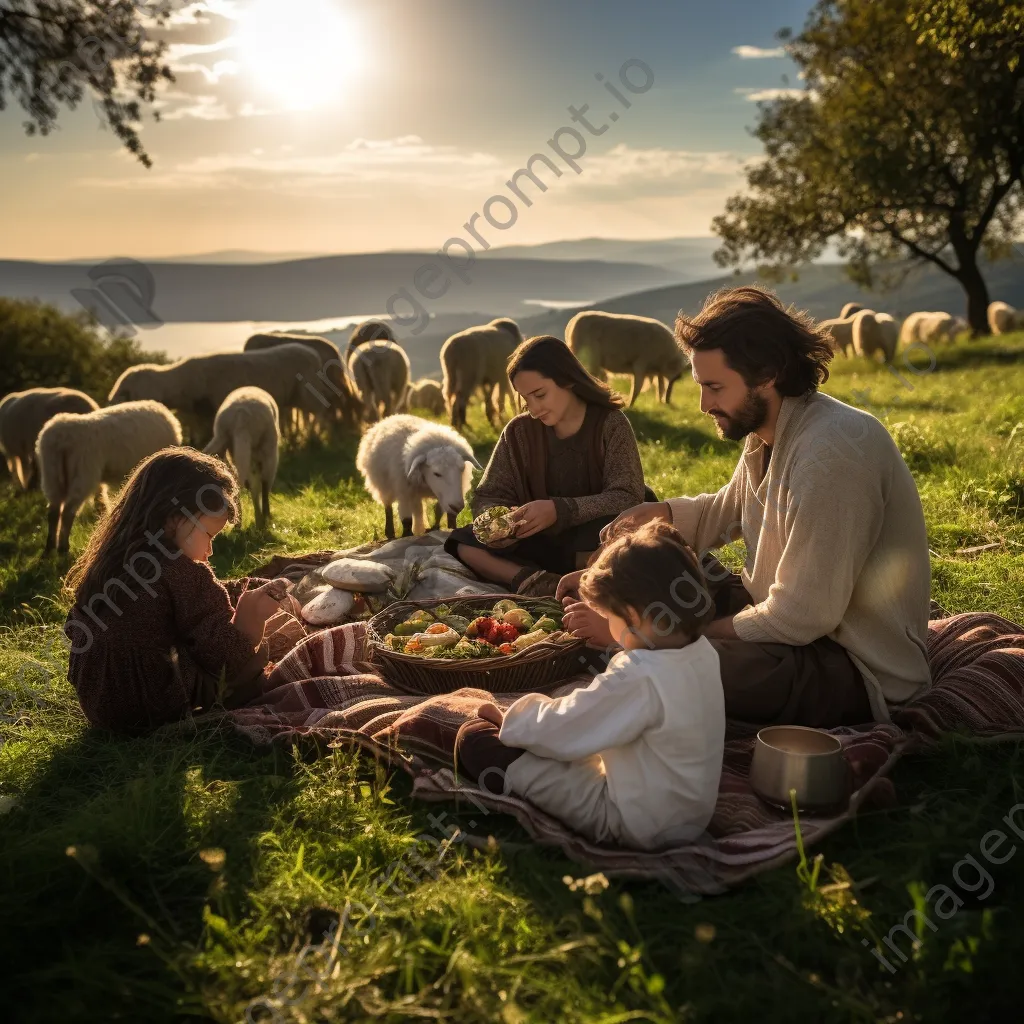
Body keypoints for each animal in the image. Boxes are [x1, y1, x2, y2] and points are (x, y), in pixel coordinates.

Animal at [35, 401, 184, 561]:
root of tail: (61, 439)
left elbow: (101, 499)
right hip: (83, 473)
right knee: (68, 512)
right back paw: (63, 548)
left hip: (51, 475)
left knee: (53, 511)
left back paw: (49, 549)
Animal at [107, 344, 323, 444]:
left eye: (126, 392)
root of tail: (313, 354)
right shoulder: (200, 413)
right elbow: (199, 435)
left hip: (308, 393)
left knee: (320, 413)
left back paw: (314, 439)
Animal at [202, 385, 280, 528]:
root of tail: (241, 417)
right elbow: (261, 485)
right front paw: (264, 517)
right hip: (268, 447)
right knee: (263, 481)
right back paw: (262, 517)